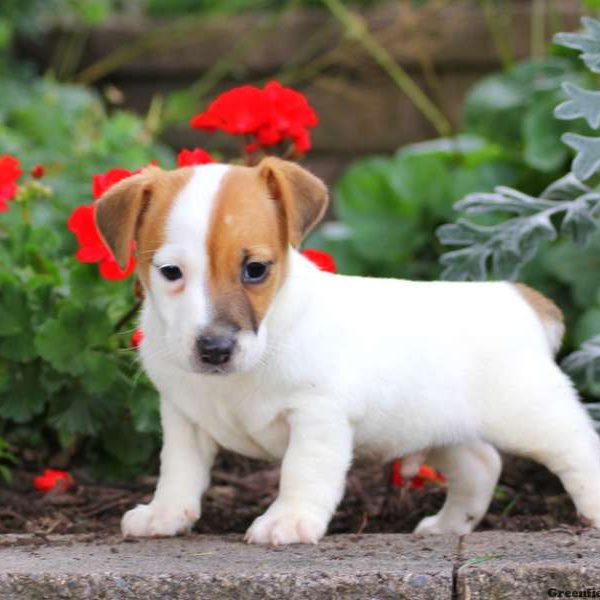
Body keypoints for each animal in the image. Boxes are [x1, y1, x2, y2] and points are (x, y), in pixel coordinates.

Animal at [95, 156, 600, 544]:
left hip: (533, 415)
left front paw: (288, 520)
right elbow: (178, 470)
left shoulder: (316, 418)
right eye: (170, 272)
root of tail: (519, 297)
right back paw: (449, 526)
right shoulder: (184, 418)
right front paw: (164, 514)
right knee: (481, 463)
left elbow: (301, 471)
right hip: (438, 426)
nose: (215, 349)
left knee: (579, 449)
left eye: (256, 269)